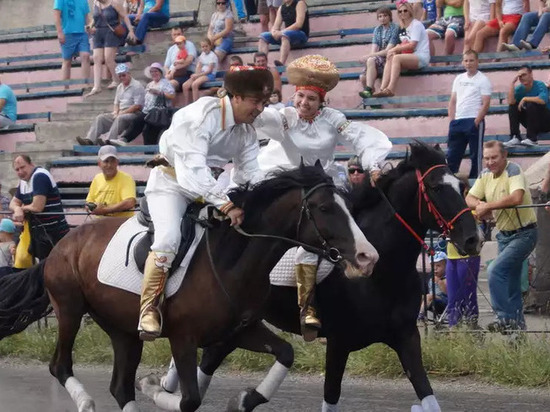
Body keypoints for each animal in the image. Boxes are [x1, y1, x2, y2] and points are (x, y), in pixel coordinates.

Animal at [0, 165, 380, 412]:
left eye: (349, 206)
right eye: (324, 208)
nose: (367, 256)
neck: (229, 261)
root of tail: (62, 245)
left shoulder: (239, 331)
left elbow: (286, 353)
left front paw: (244, 398)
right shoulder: (183, 338)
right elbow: (189, 399)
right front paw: (154, 386)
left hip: (123, 330)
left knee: (120, 387)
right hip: (69, 309)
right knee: (61, 366)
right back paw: (86, 403)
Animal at [148, 142, 484, 412]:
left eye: (462, 185)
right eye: (437, 188)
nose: (473, 239)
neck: (381, 274)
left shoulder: (406, 336)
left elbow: (428, 395)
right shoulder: (339, 341)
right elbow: (330, 396)